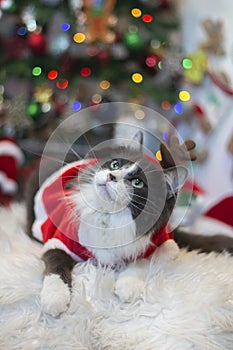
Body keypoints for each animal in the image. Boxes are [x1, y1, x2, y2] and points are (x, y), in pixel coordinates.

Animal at [26, 132, 193, 318]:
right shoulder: (59, 240)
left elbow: (144, 260)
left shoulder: (164, 243)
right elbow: (56, 264)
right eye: (115, 164)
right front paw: (54, 298)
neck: (110, 217)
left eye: (137, 182)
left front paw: (128, 285)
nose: (111, 176)